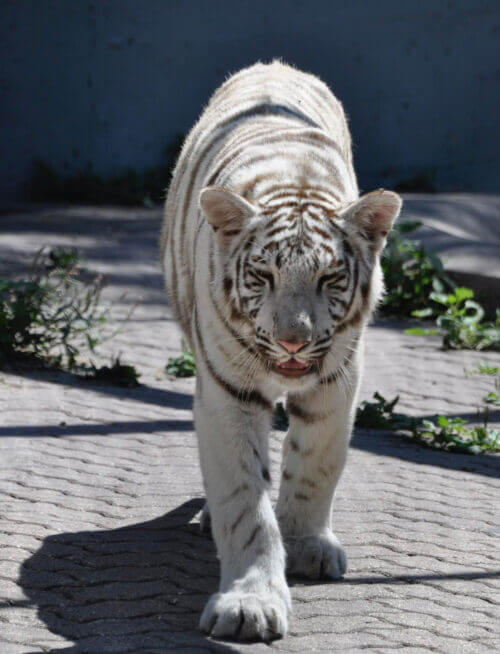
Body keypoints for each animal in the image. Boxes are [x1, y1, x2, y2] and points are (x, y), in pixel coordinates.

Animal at [160, 60, 401, 642]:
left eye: (329, 278)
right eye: (263, 276)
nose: (293, 340)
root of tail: (274, 65)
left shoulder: (339, 381)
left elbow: (316, 466)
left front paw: (307, 544)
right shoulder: (226, 389)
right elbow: (244, 502)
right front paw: (250, 604)